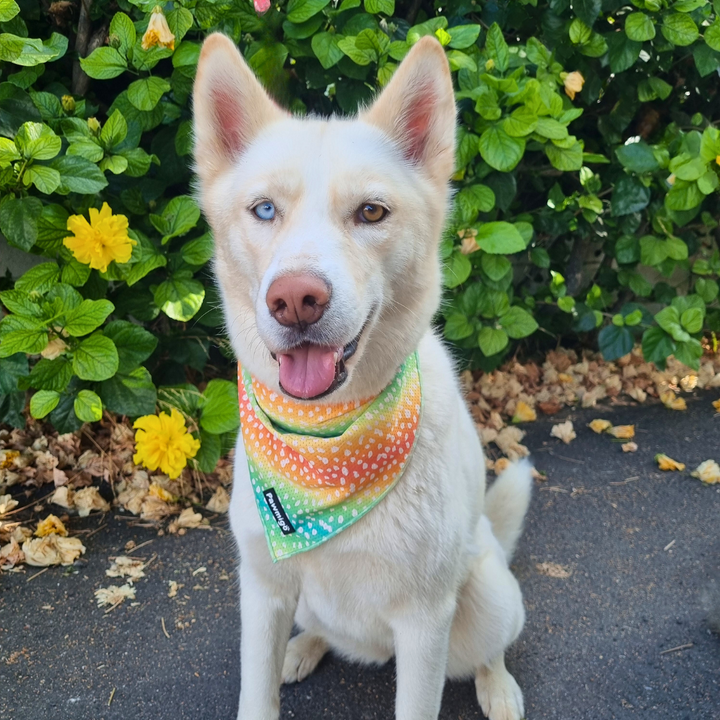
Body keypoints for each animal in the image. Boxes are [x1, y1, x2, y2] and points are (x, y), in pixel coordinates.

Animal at [194, 33, 532, 720]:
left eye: (371, 212)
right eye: (264, 209)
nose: (295, 300)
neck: (324, 439)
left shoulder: (425, 623)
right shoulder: (262, 591)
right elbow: (256, 693)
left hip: (486, 593)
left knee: (490, 648)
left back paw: (499, 686)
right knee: (323, 632)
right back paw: (304, 649)